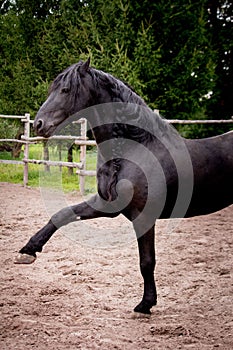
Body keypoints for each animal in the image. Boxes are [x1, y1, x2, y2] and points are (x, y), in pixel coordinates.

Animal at [15, 58, 232, 316]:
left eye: (66, 90)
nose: (39, 125)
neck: (135, 149)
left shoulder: (143, 216)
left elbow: (146, 262)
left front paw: (145, 304)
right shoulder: (106, 204)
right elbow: (62, 214)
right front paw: (28, 251)